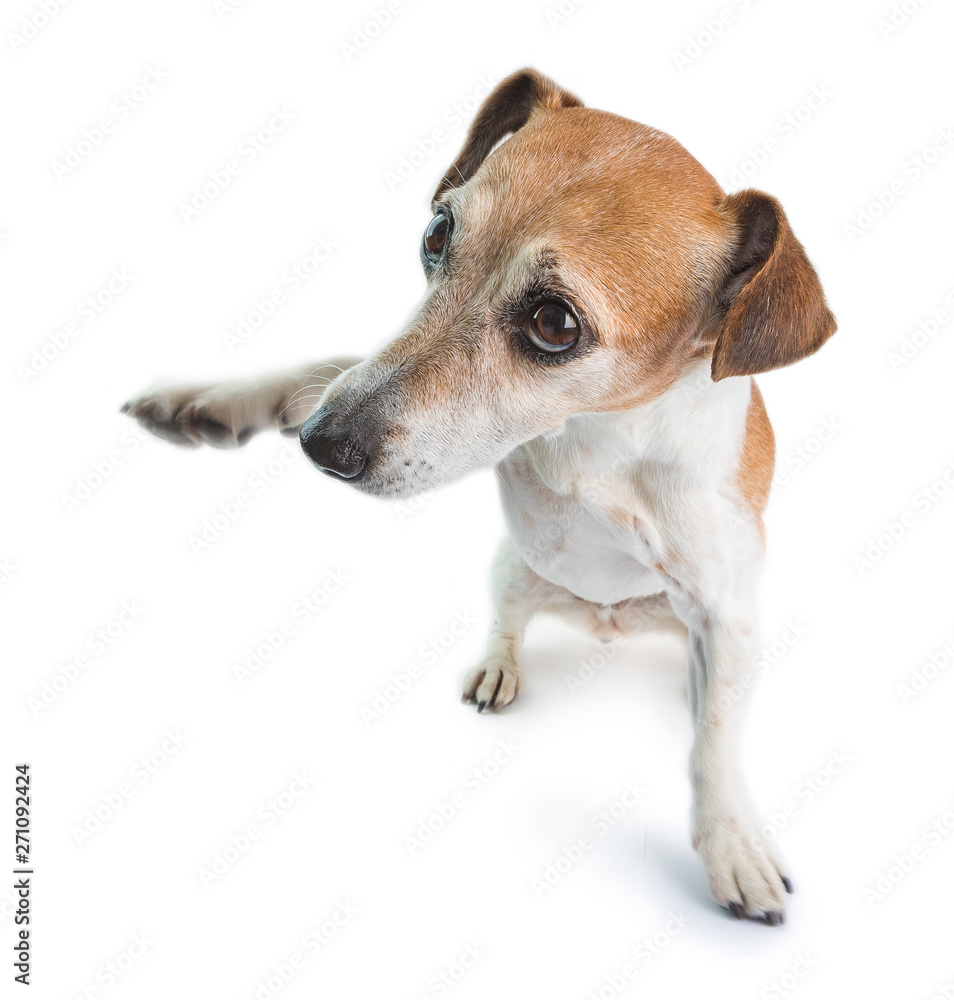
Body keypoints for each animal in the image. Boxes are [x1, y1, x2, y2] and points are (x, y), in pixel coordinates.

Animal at [121, 70, 832, 924]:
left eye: (554, 321)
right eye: (437, 234)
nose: (323, 445)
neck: (594, 438)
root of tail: (608, 624)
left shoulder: (724, 605)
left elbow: (715, 740)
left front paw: (732, 844)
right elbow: (314, 370)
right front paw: (209, 399)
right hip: (513, 571)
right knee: (507, 622)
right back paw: (499, 667)